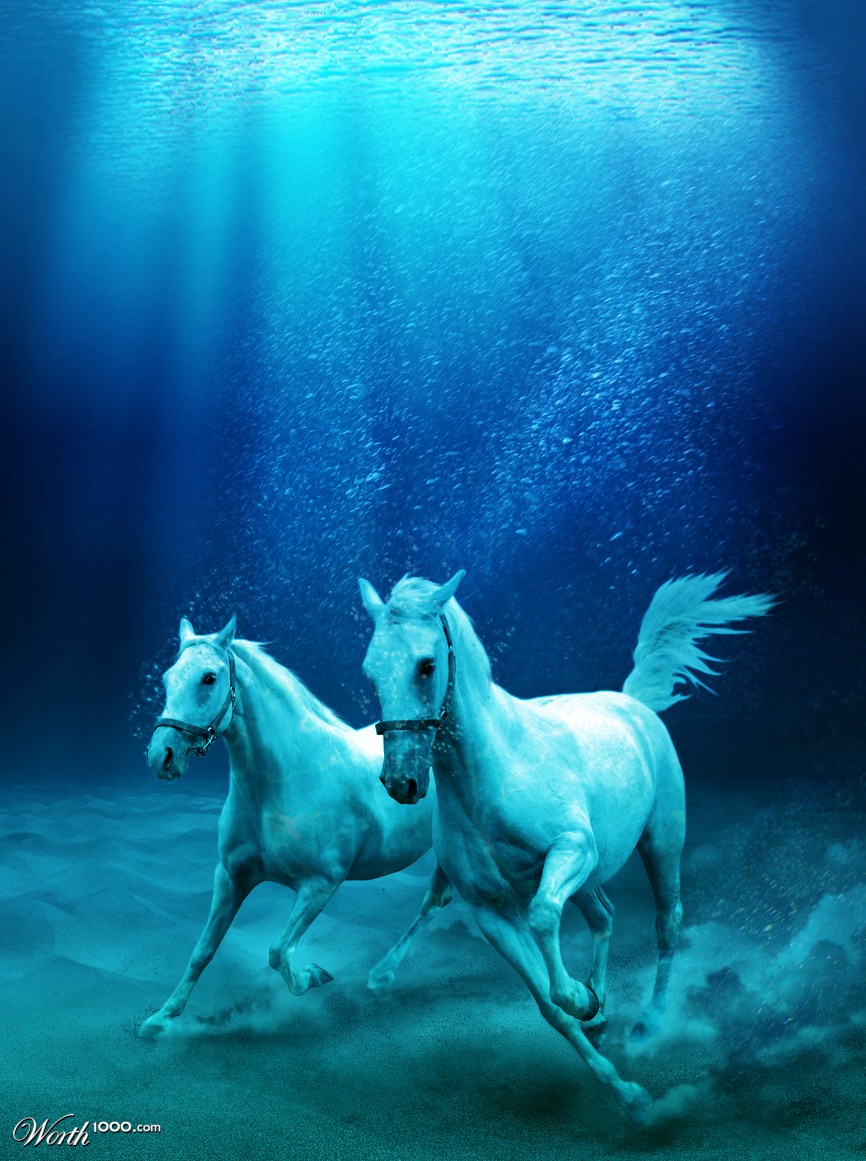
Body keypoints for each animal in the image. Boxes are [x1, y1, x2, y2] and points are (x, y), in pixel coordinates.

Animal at [139, 615, 452, 1038]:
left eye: (209, 678)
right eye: (167, 678)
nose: (162, 757)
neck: (285, 782)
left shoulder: (320, 885)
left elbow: (277, 953)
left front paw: (315, 975)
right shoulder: (231, 878)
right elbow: (202, 951)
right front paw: (161, 1019)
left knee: (434, 902)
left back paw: (381, 974)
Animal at [359, 571, 773, 1123]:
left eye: (426, 665)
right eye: (371, 673)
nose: (400, 782)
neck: (492, 775)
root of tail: (632, 703)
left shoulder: (572, 851)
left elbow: (542, 920)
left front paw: (582, 1000)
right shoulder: (490, 910)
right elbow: (550, 1008)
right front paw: (623, 1087)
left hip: (659, 843)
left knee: (668, 923)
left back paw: (649, 1022)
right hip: (590, 879)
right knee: (604, 915)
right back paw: (602, 1010)